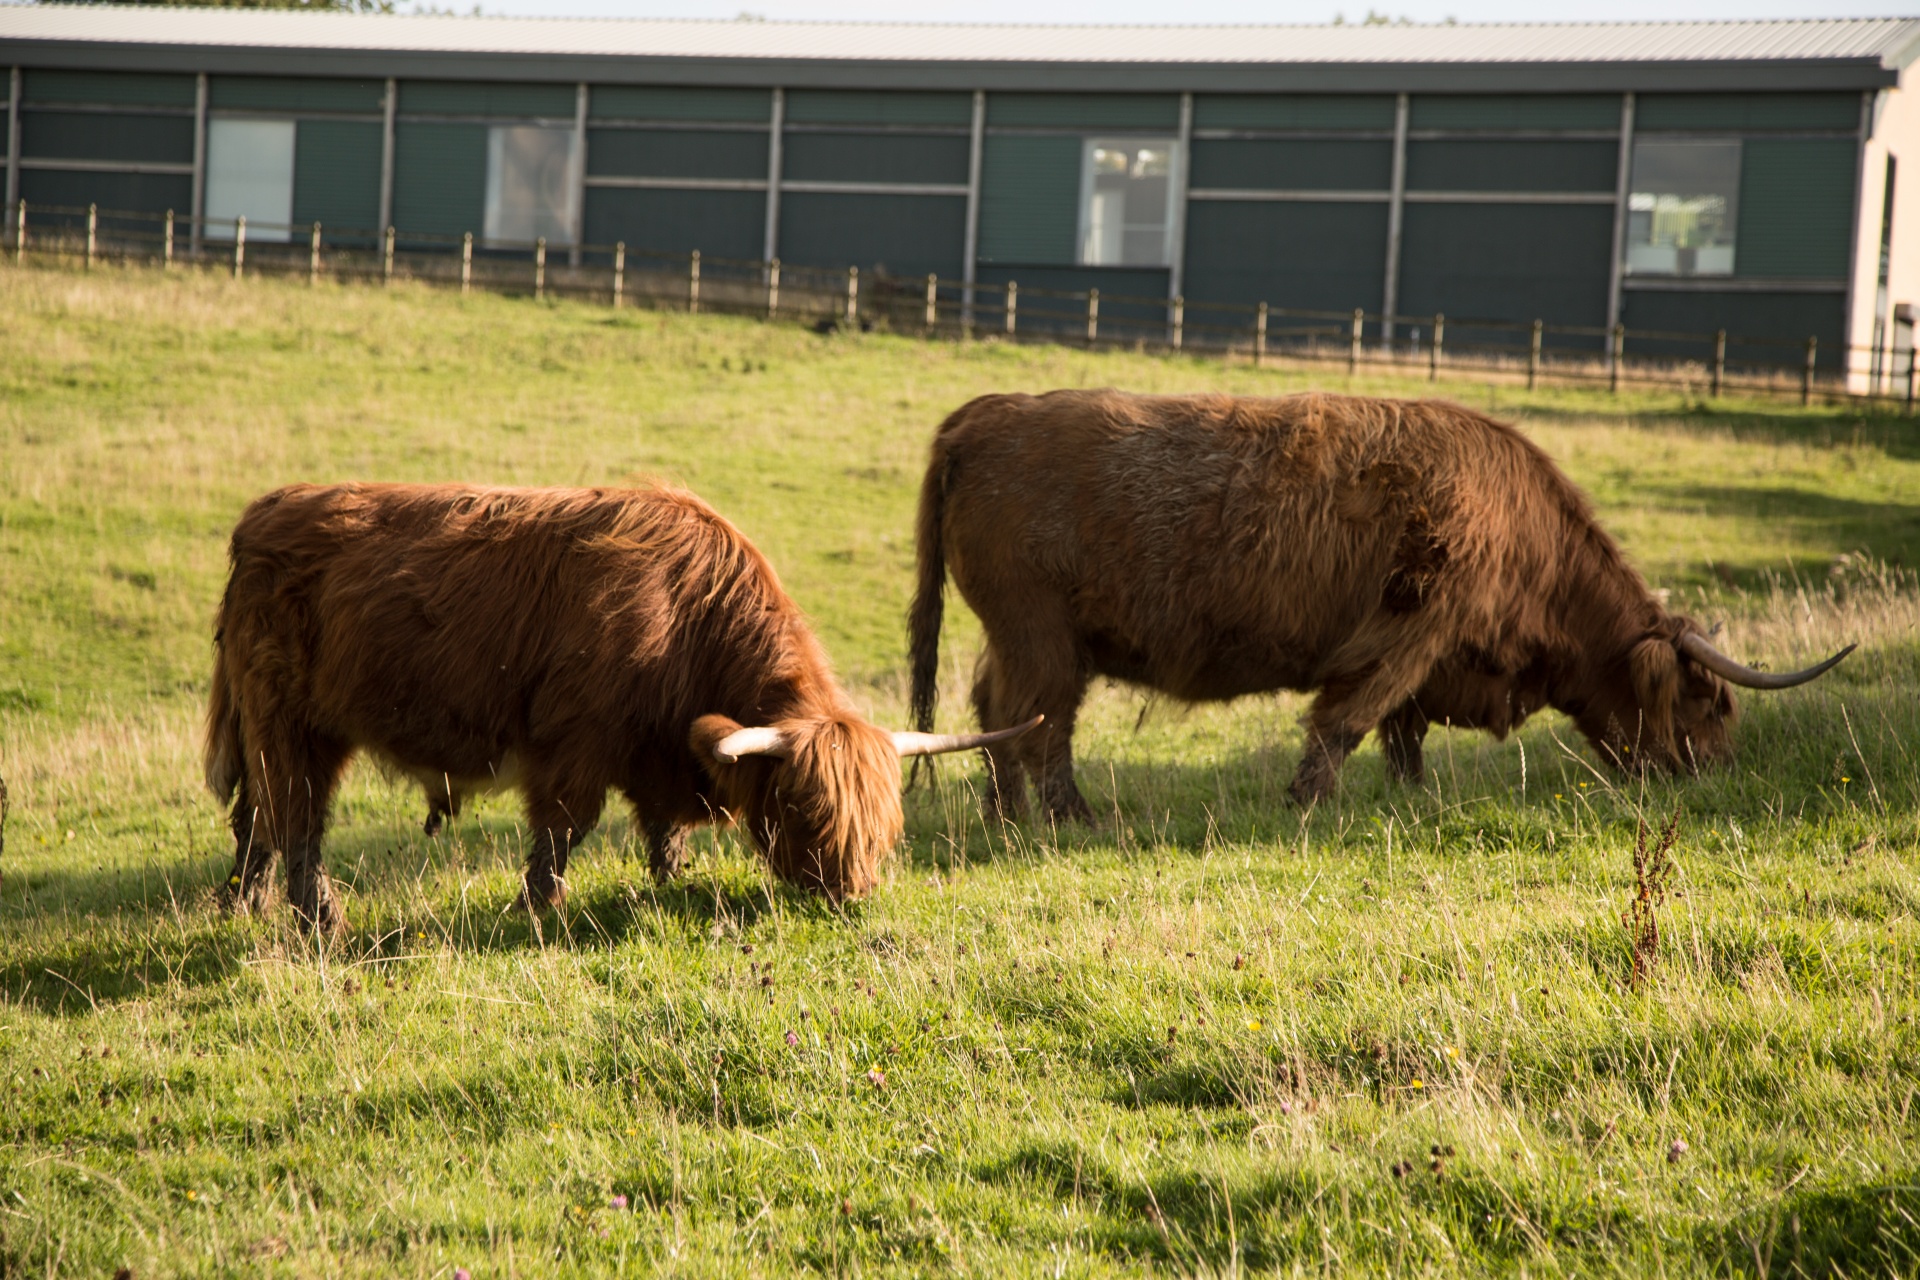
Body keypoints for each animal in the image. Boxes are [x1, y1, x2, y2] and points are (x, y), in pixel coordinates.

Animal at [210, 479, 1036, 932]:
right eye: (806, 809)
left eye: (887, 822)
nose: (851, 893)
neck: (688, 616)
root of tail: (262, 516)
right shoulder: (575, 743)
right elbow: (562, 832)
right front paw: (536, 909)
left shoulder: (660, 751)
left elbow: (664, 830)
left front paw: (671, 882)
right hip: (291, 722)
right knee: (297, 819)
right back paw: (319, 922)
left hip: (267, 725)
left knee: (256, 823)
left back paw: (241, 907)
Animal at [906, 385, 1850, 821]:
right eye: (1708, 701)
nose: (1717, 773)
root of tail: (984, 414)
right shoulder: (1410, 630)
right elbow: (1349, 720)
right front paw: (1308, 803)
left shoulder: (1427, 655)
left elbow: (1402, 733)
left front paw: (1407, 797)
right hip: (1044, 637)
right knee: (1039, 723)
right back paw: (1070, 816)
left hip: (1023, 637)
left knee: (998, 712)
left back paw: (1008, 815)